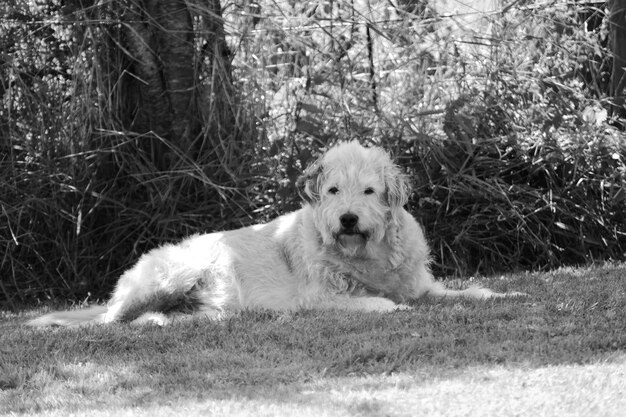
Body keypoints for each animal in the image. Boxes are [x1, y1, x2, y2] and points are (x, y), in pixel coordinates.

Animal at [26, 141, 520, 326]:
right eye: (333, 190)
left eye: (368, 191)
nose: (347, 219)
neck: (367, 254)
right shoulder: (317, 298)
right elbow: (372, 302)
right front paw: (383, 304)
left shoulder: (422, 285)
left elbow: (465, 291)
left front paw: (501, 294)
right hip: (172, 271)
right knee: (108, 321)